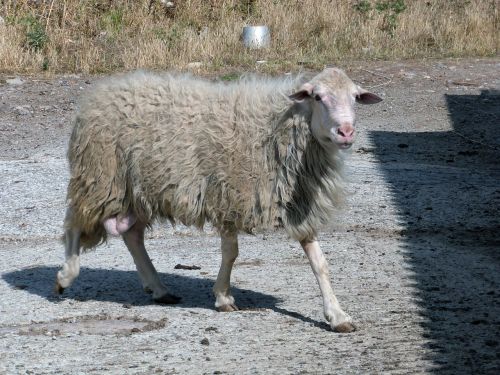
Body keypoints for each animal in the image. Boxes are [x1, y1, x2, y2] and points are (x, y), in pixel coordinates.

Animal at [54, 67, 382, 332]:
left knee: (131, 236)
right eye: (317, 97)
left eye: (355, 97)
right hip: (100, 179)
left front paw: (337, 316)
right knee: (73, 223)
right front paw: (223, 297)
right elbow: (231, 253)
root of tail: (103, 90)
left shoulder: (298, 204)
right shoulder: (226, 196)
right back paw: (65, 276)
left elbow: (320, 263)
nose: (346, 131)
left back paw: (159, 288)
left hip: (137, 191)